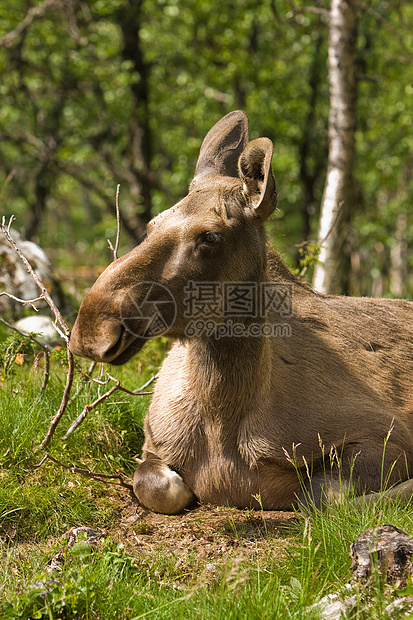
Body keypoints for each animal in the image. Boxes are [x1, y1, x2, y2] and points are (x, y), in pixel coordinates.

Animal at [71, 111, 413, 512]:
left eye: (211, 236)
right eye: (151, 225)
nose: (91, 329)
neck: (222, 418)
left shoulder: (387, 436)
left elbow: (323, 494)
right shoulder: (153, 448)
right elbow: (156, 486)